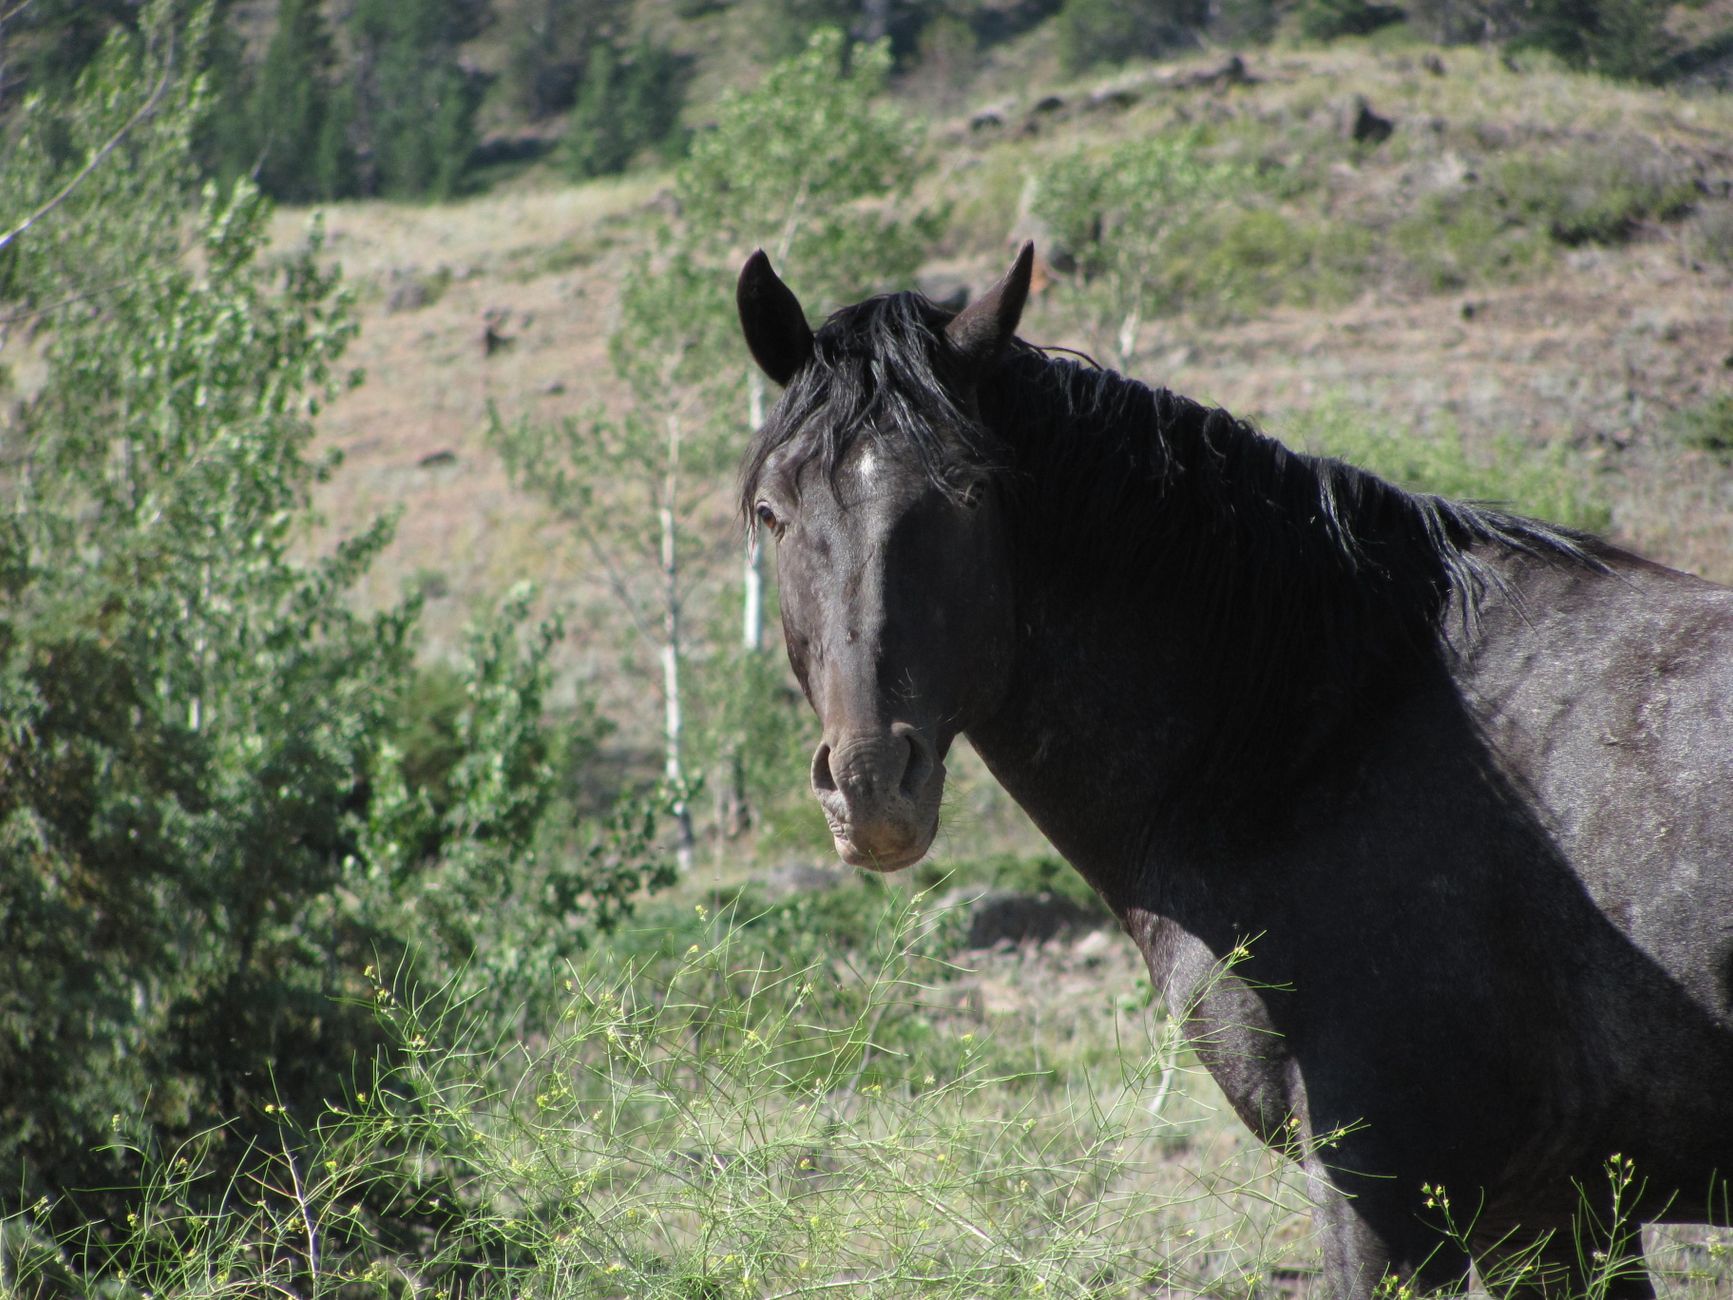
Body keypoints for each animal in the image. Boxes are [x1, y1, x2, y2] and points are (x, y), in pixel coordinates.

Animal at [734, 242, 1733, 1298]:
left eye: (965, 496)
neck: (1324, 734)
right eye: (771, 511)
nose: (871, 784)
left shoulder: (1382, 1192)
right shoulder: (1552, 1212)